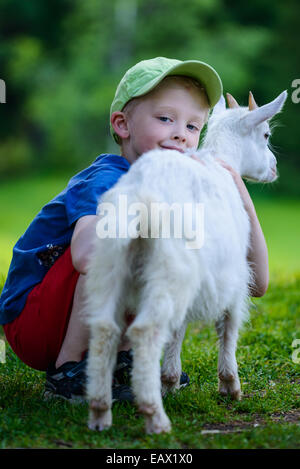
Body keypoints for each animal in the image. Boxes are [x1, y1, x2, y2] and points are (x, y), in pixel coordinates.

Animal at [84, 89, 286, 434]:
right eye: (266, 135)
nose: (273, 168)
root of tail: (141, 197)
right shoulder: (234, 277)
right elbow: (228, 326)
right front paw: (230, 386)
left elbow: (177, 331)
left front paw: (170, 381)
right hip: (171, 266)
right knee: (146, 331)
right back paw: (154, 416)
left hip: (111, 262)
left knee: (104, 328)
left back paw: (100, 413)